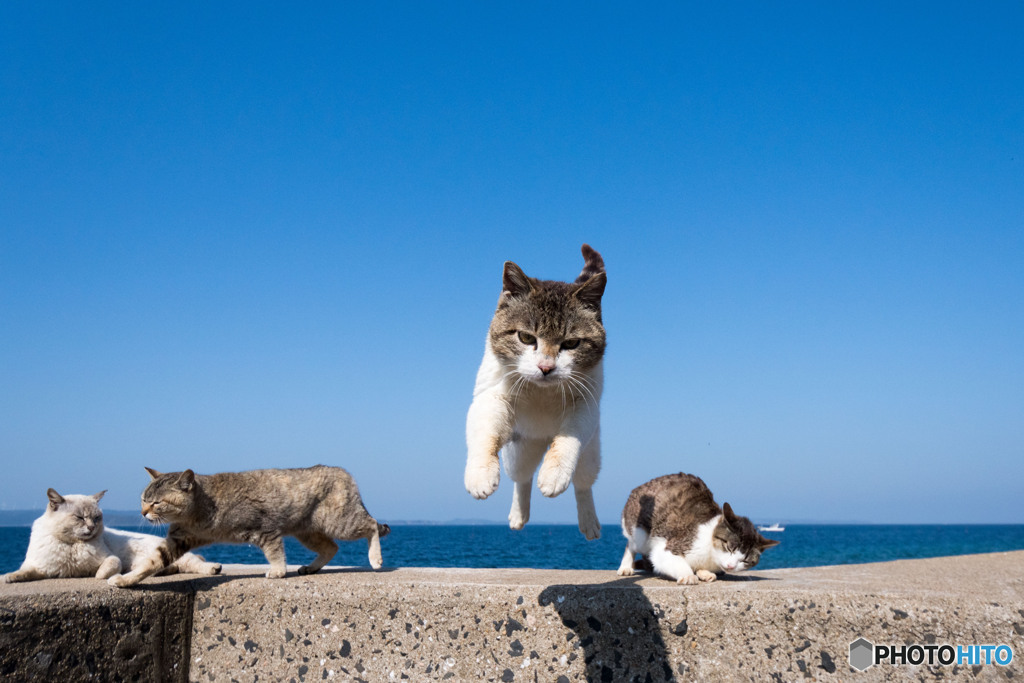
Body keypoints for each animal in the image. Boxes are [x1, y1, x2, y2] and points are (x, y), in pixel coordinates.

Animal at [4, 489, 220, 585]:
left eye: (97, 518)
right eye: (80, 517)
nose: (92, 527)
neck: (72, 545)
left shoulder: (110, 558)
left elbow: (104, 570)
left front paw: (97, 575)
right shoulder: (39, 566)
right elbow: (24, 572)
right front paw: (10, 577)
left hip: (180, 557)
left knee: (197, 564)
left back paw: (214, 568)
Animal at [108, 464, 387, 589]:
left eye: (156, 502)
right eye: (142, 499)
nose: (143, 512)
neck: (198, 511)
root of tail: (345, 473)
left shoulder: (264, 528)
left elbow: (274, 552)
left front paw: (278, 571)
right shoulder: (179, 539)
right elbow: (151, 562)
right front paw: (127, 579)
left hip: (341, 521)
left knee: (372, 525)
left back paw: (375, 559)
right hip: (307, 531)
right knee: (331, 548)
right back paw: (311, 567)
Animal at [464, 244, 606, 540]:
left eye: (572, 343)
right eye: (526, 337)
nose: (545, 367)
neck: (542, 392)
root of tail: (542, 439)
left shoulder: (585, 405)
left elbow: (567, 441)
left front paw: (555, 473)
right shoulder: (490, 396)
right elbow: (484, 434)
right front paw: (480, 474)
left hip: (591, 453)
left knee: (583, 483)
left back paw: (588, 519)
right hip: (519, 451)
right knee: (522, 477)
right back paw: (519, 513)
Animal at [618, 473, 778, 585]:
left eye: (746, 561)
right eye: (730, 548)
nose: (731, 566)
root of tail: (639, 487)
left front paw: (704, 573)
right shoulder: (669, 548)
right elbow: (672, 560)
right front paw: (689, 574)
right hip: (641, 534)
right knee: (631, 545)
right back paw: (626, 567)